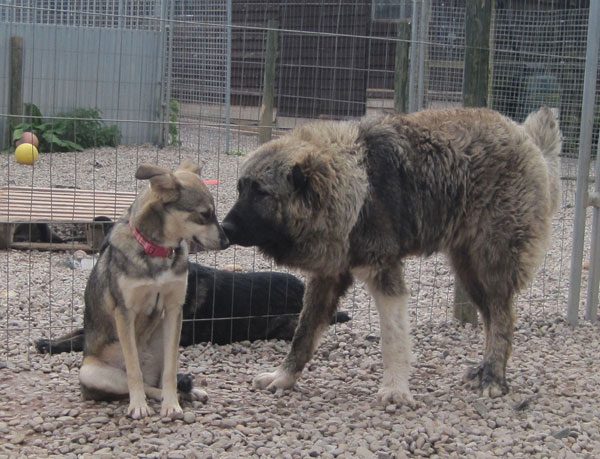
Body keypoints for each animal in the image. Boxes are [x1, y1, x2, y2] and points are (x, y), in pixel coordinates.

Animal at [221, 108, 564, 406]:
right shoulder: (327, 278)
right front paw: (284, 377)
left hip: (491, 265)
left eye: (261, 192)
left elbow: (393, 338)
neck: (354, 184)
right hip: (469, 272)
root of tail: (528, 137)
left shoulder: (384, 272)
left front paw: (396, 389)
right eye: (240, 189)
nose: (224, 228)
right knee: (492, 319)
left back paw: (493, 378)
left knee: (503, 319)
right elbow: (302, 335)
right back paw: (486, 370)